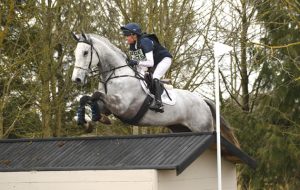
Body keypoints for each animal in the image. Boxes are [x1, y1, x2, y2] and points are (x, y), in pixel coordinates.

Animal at [71, 32, 239, 145]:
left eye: (85, 53)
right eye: (75, 53)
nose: (77, 79)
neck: (114, 74)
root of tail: (202, 100)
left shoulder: (122, 106)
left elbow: (96, 94)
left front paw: (97, 119)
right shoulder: (107, 106)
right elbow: (87, 98)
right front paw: (87, 122)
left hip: (202, 128)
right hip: (181, 128)